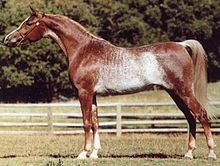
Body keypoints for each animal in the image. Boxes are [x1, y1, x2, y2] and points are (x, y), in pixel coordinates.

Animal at [3, 7, 217, 160]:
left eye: (29, 23)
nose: (7, 39)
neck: (83, 50)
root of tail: (182, 45)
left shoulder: (84, 92)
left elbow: (86, 123)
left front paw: (83, 154)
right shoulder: (93, 95)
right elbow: (96, 123)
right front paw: (95, 153)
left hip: (183, 91)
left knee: (201, 115)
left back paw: (211, 153)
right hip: (175, 93)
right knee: (190, 118)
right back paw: (188, 153)